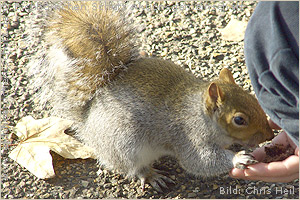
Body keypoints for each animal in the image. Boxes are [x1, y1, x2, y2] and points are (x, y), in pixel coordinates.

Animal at [28, 1, 274, 192]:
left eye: (253, 99)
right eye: (239, 120)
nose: (269, 134)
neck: (201, 115)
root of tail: (88, 123)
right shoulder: (187, 137)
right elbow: (200, 161)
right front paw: (238, 158)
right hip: (125, 145)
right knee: (133, 167)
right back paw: (150, 175)